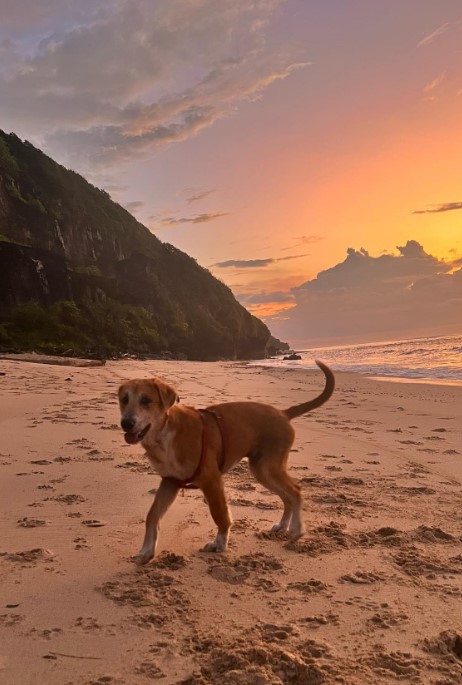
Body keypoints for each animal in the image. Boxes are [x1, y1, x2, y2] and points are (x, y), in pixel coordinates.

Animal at [119, 360, 334, 564]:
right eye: (124, 400)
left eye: (146, 400)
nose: (126, 423)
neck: (164, 434)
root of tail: (284, 413)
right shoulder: (170, 482)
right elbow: (152, 515)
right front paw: (146, 552)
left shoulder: (211, 481)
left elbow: (220, 514)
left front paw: (219, 544)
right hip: (261, 470)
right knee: (286, 496)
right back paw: (282, 525)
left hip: (269, 467)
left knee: (295, 491)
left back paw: (297, 531)